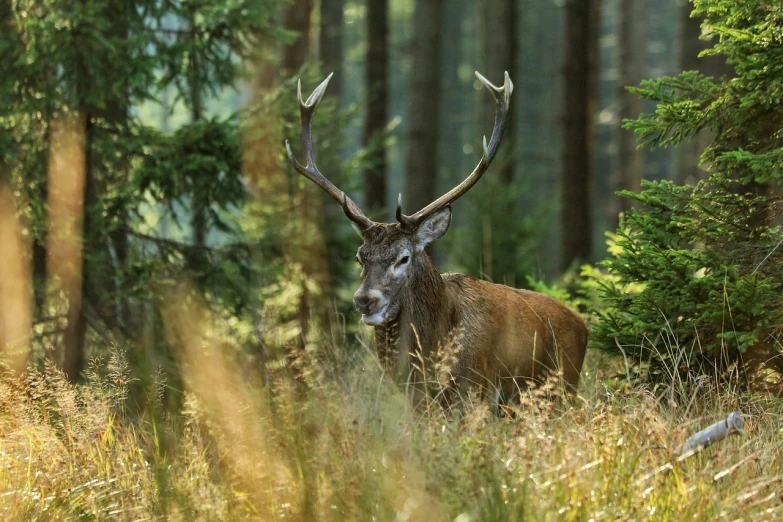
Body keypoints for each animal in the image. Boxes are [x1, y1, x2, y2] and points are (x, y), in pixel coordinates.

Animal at [284, 70, 588, 406]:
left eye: (404, 257)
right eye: (360, 257)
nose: (365, 300)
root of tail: (583, 325)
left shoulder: (475, 389)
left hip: (561, 387)